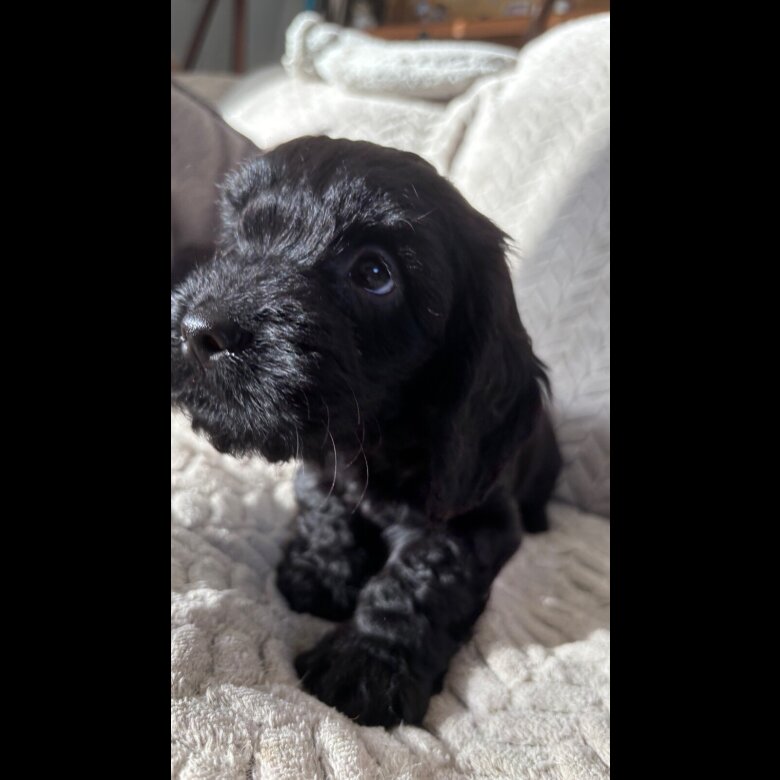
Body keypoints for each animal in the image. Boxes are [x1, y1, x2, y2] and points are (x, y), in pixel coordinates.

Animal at [170, 136, 562, 727]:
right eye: (238, 236)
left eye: (375, 274)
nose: (198, 331)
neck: (374, 446)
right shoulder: (324, 461)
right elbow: (324, 505)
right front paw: (319, 571)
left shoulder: (477, 515)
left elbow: (422, 575)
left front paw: (369, 663)